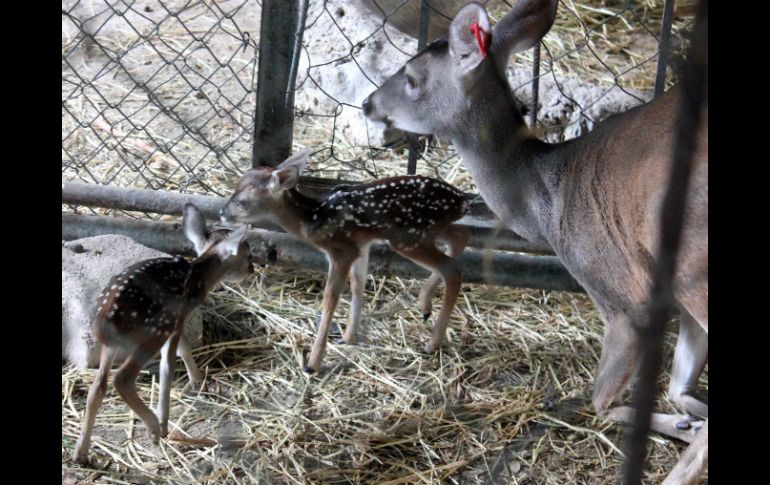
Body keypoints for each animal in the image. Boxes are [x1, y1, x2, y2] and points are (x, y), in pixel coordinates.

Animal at [364, 0, 704, 480]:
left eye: (412, 76)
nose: (367, 103)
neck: (545, 199)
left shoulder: (623, 291)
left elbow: (602, 401)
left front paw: (682, 426)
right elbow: (680, 386)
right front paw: (689, 417)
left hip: (695, 257)